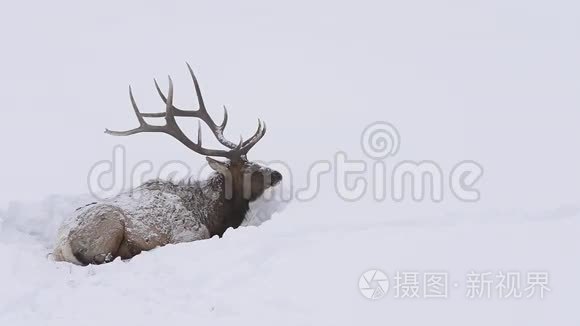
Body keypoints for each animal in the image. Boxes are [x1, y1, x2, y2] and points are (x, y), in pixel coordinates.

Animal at [52, 63, 284, 264]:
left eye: (252, 161)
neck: (214, 214)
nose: (277, 174)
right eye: (249, 169)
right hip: (109, 226)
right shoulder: (190, 232)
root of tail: (61, 244)